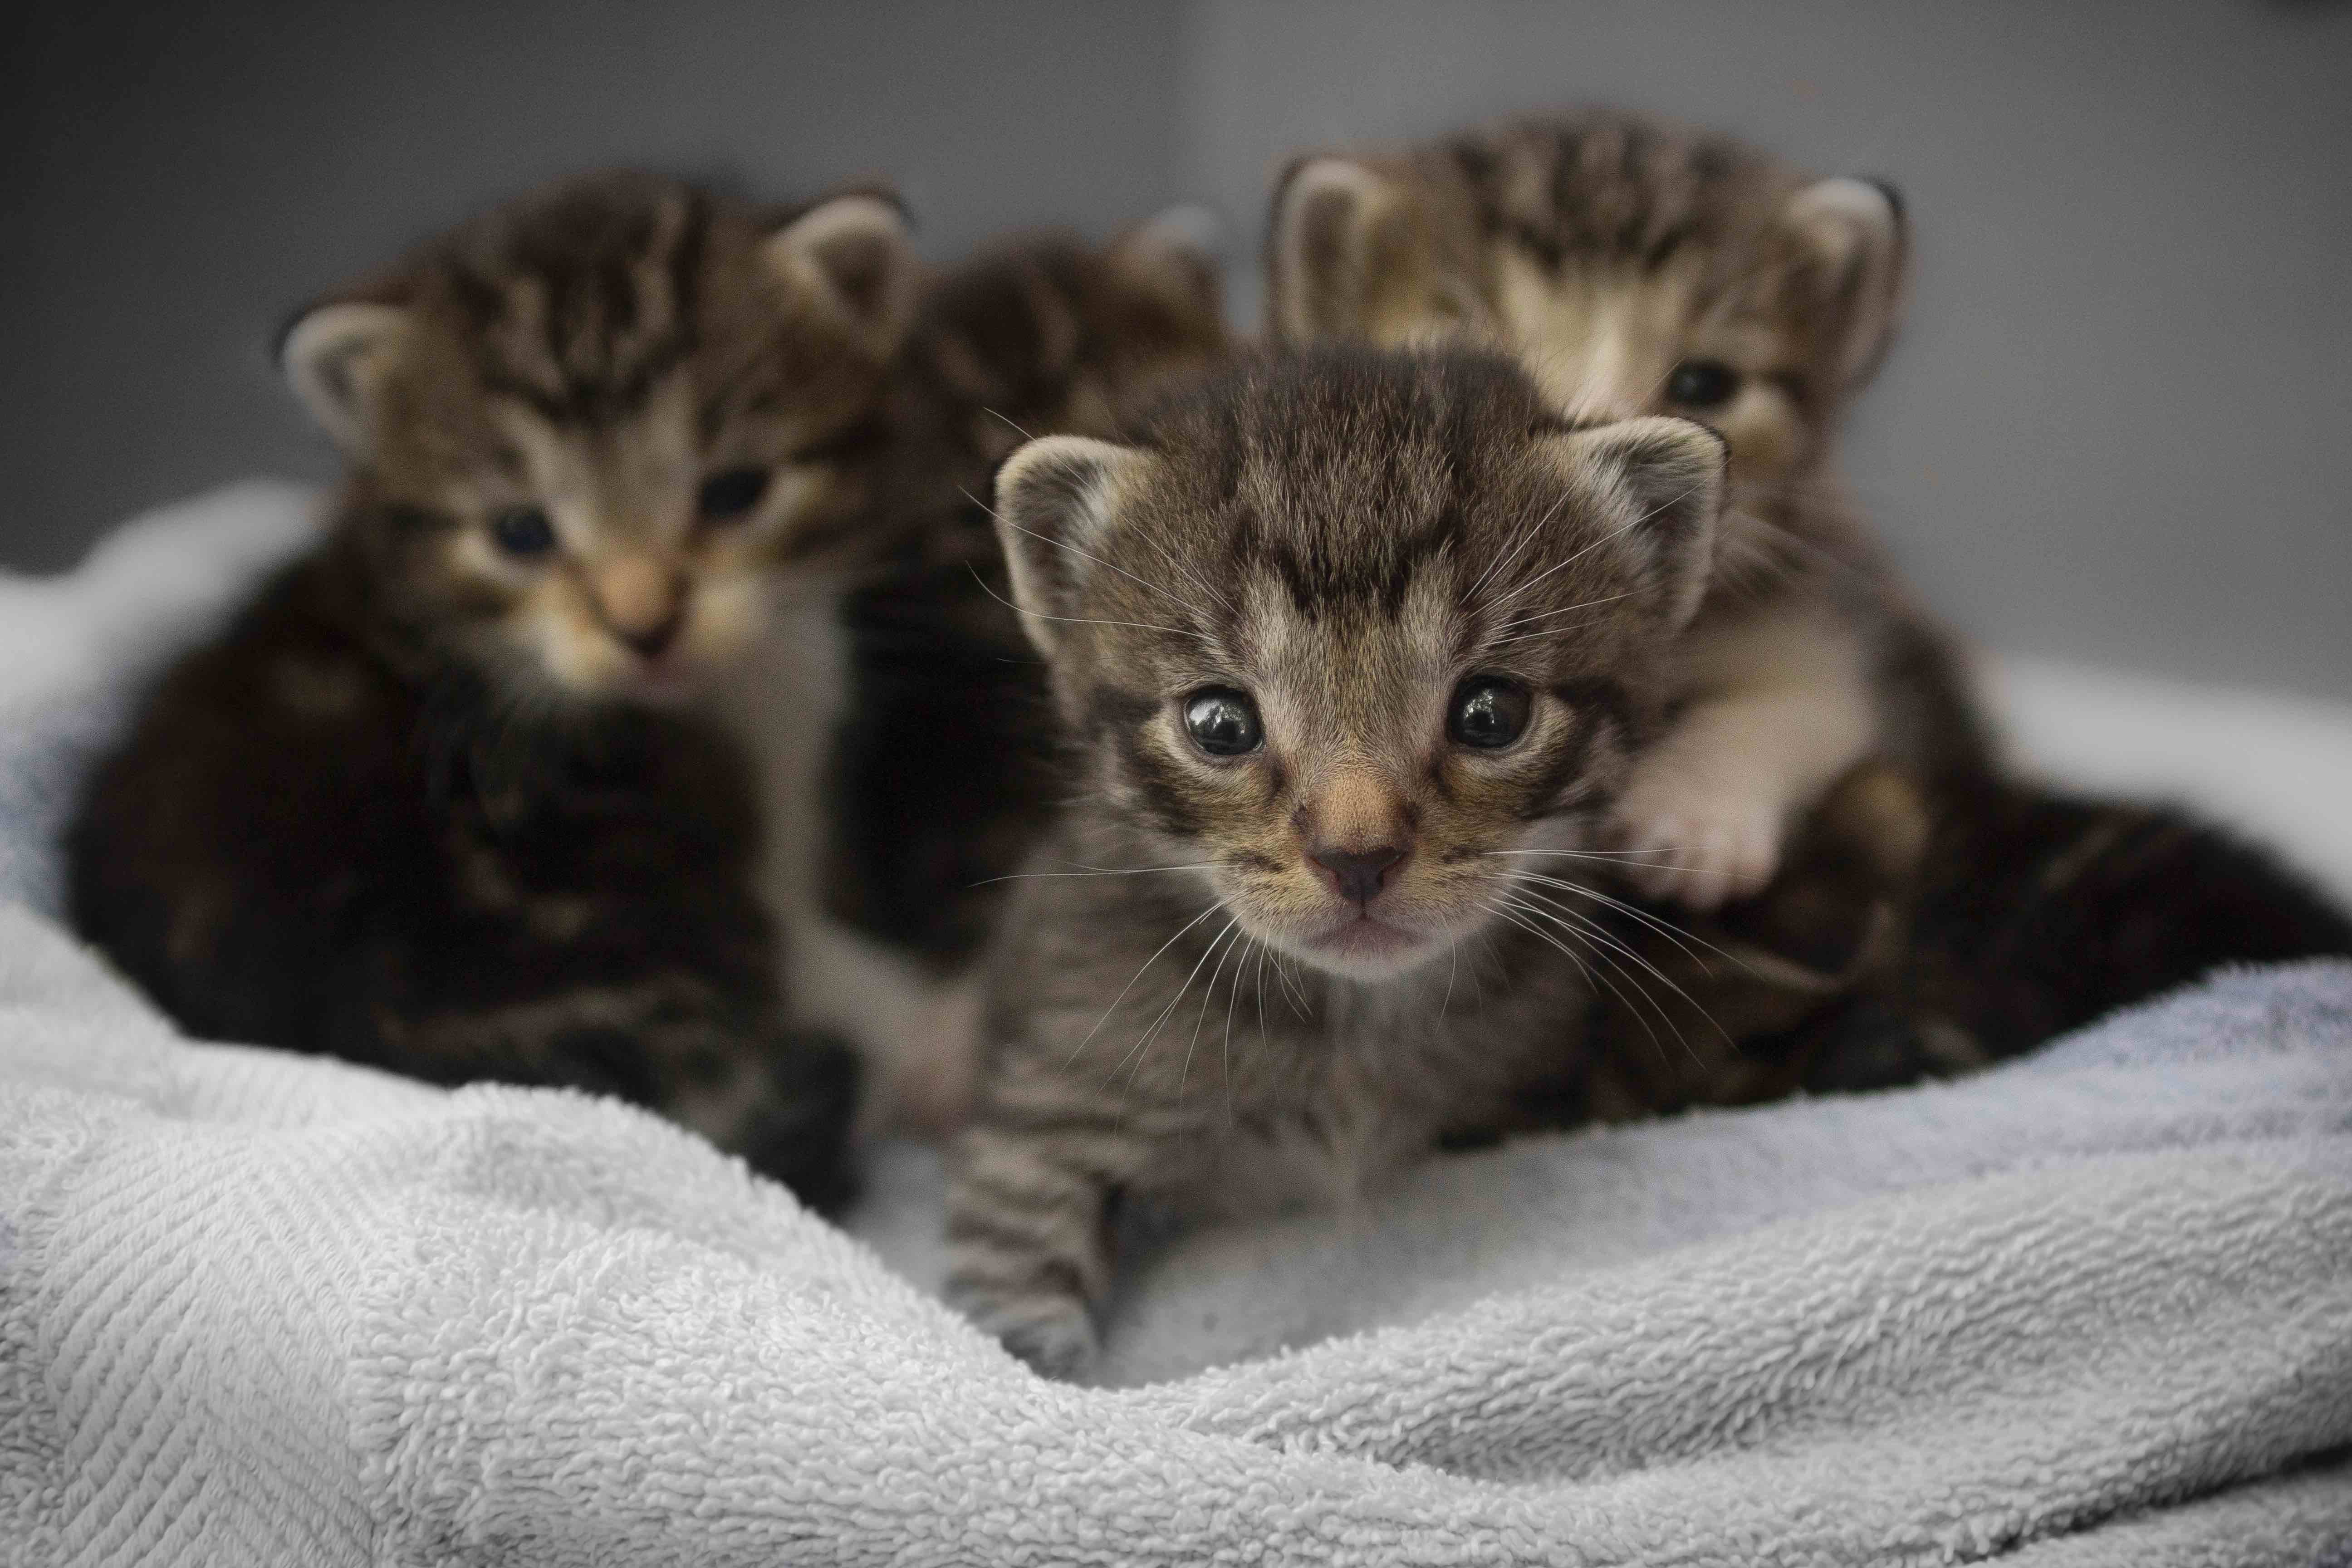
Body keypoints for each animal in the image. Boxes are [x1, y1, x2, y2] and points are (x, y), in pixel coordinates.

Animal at [945, 345, 1740, 1372]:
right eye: (1219, 723)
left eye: (1491, 714)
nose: (1356, 856)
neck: (1353, 1032)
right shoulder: (1049, 1105)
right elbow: (1013, 1300)